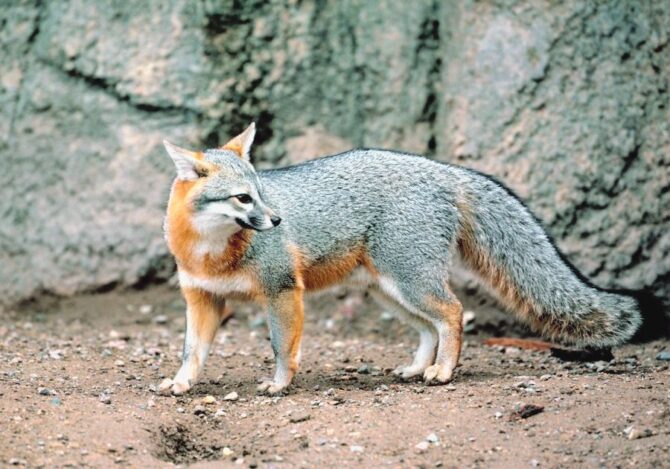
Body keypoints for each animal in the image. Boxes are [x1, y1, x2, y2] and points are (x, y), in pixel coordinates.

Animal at [157, 123, 642, 396]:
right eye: (244, 198)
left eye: (262, 192)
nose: (277, 219)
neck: (211, 251)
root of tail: (442, 169)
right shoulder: (202, 299)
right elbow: (191, 351)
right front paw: (180, 383)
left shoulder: (281, 291)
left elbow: (281, 346)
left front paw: (278, 385)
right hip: (390, 292)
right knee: (430, 326)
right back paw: (418, 367)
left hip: (410, 282)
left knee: (453, 312)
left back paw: (442, 372)